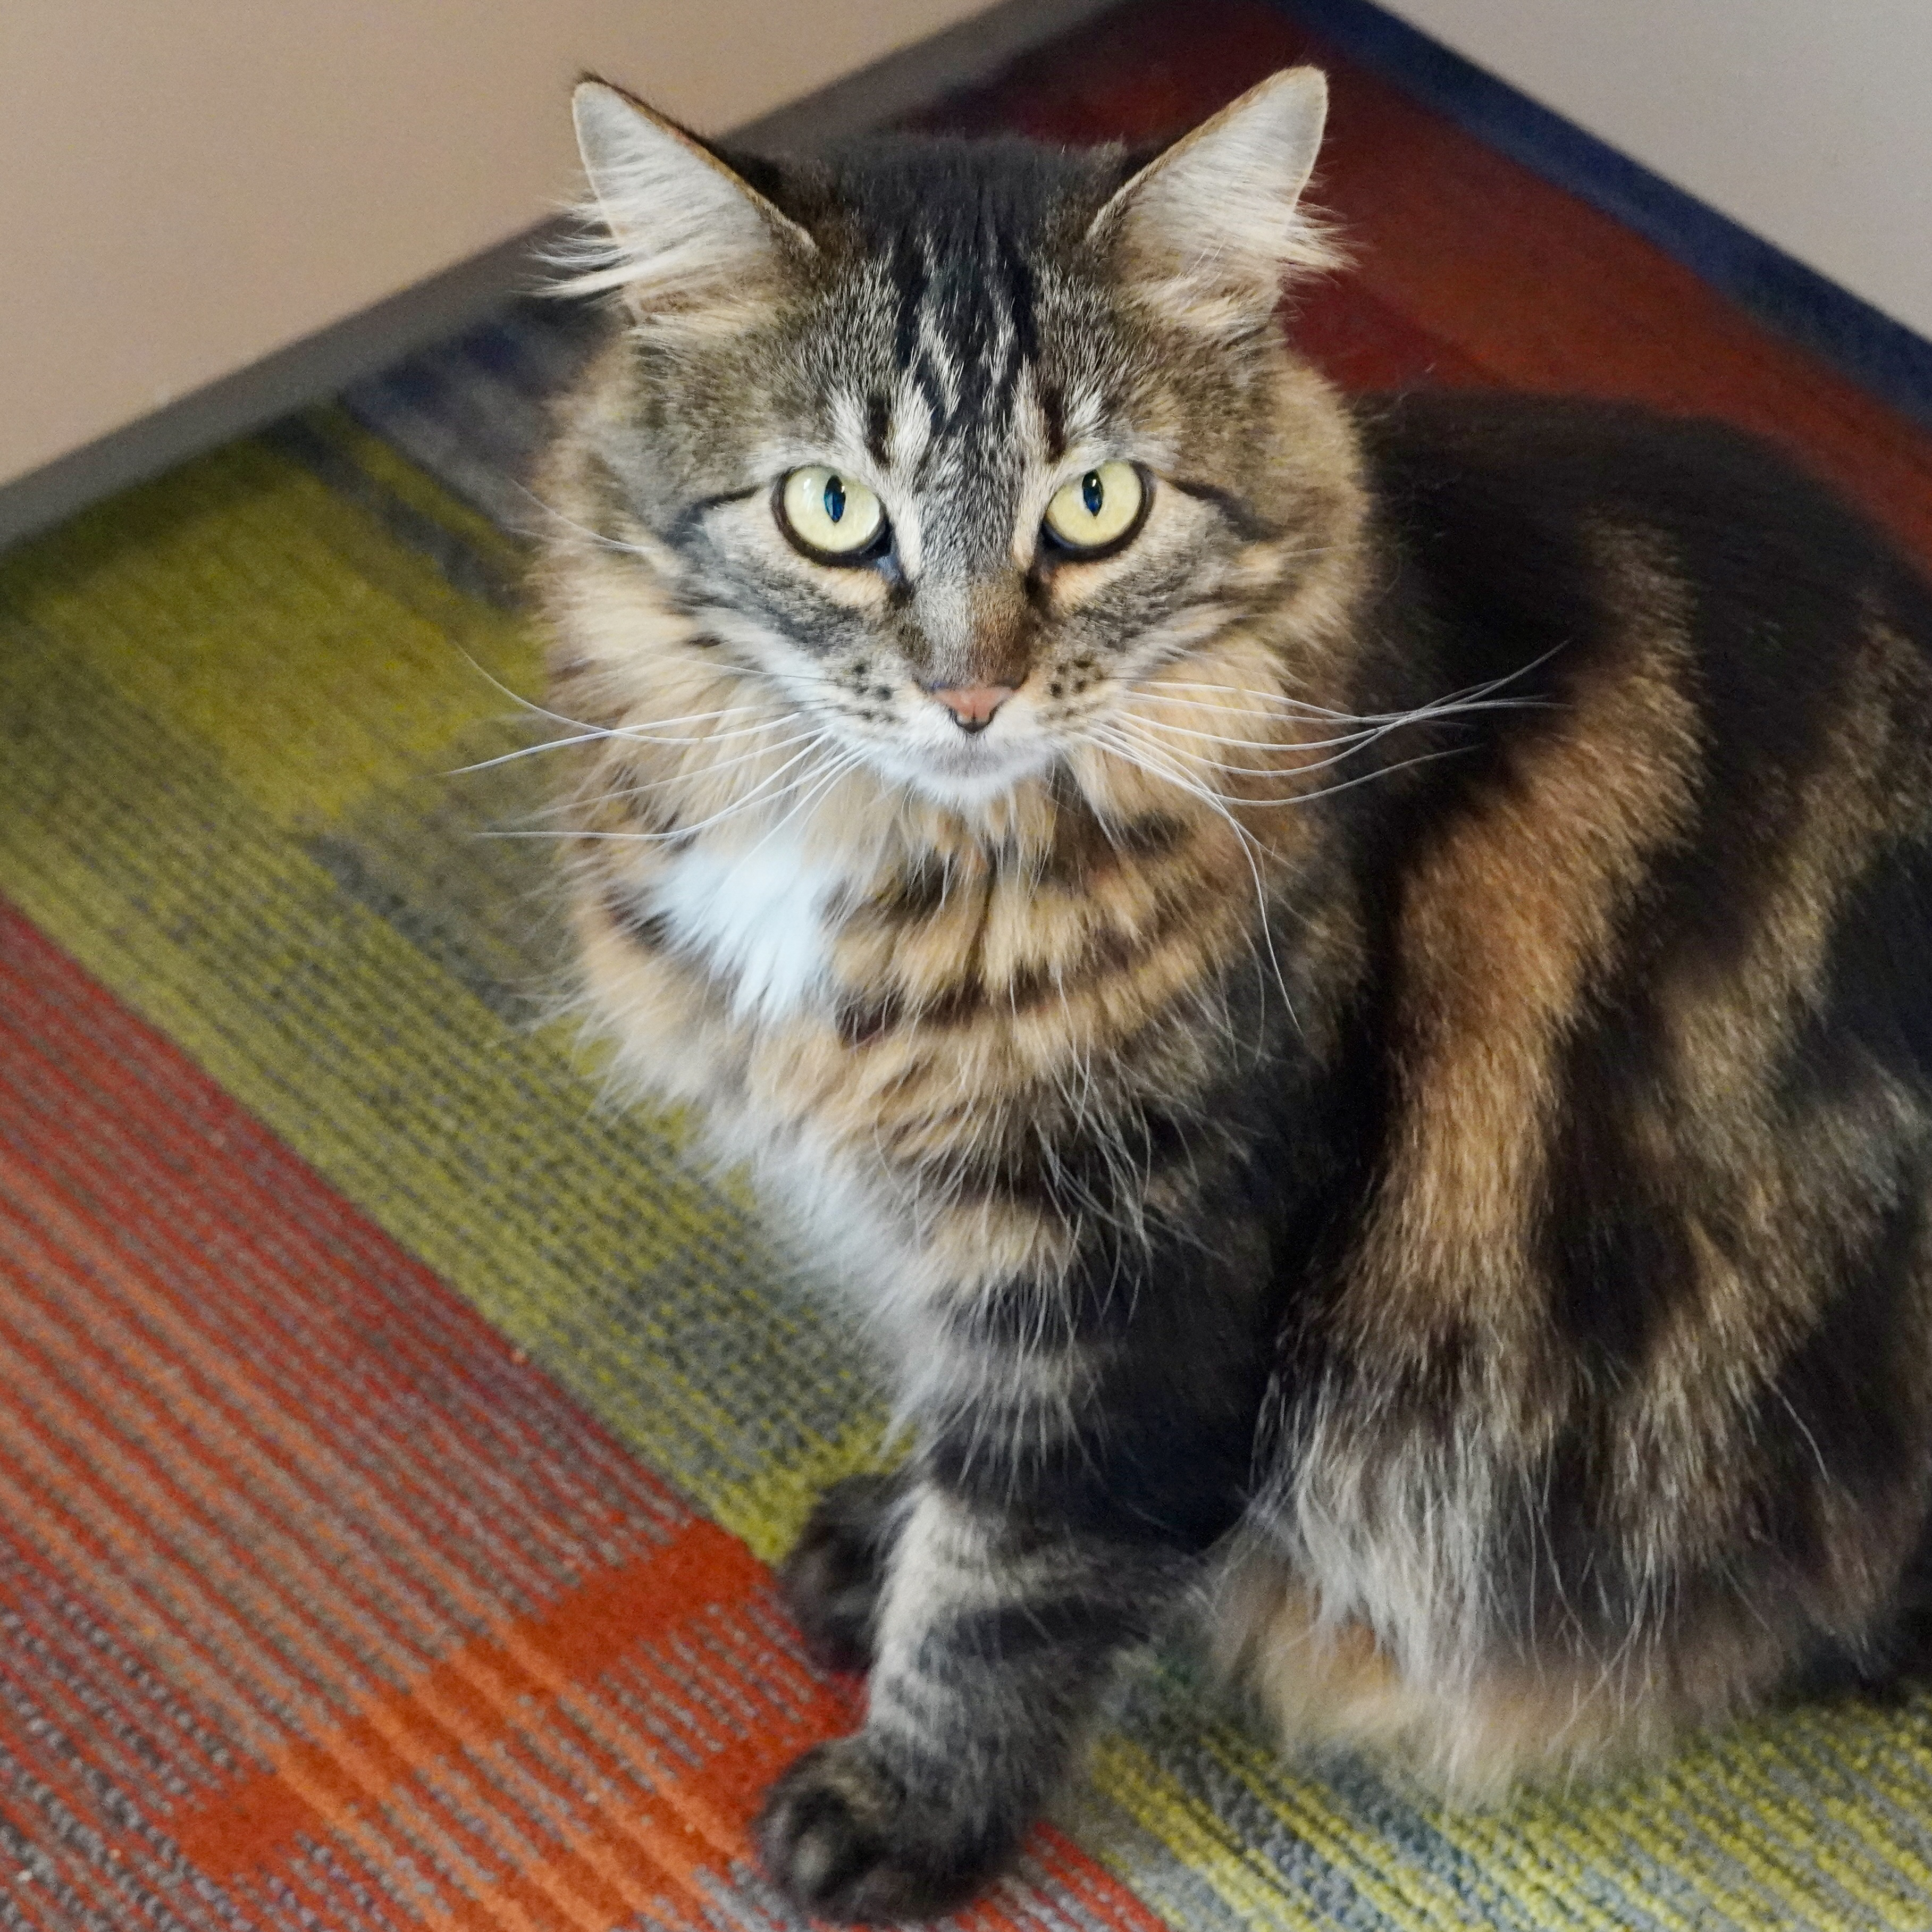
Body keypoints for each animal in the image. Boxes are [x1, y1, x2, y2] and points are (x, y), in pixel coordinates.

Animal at [529, 68, 1932, 1924]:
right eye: (830, 512)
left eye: (1095, 507)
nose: (967, 692)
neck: (911, 867)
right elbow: (978, 1470)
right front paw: (883, 1547)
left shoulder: (1138, 1254)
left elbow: (1015, 1567)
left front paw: (902, 1807)